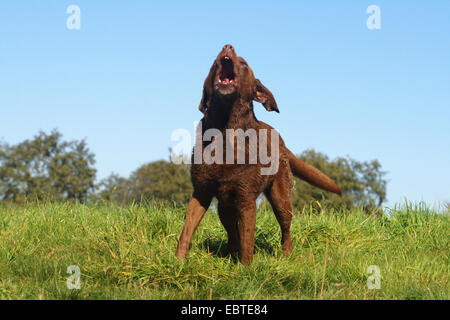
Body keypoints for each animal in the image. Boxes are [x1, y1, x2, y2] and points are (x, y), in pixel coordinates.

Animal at [176, 45, 342, 264]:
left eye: (244, 63)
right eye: (214, 62)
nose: (227, 46)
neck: (224, 131)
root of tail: (281, 139)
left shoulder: (247, 201)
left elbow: (248, 242)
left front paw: (246, 269)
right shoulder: (201, 192)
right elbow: (186, 231)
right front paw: (177, 262)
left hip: (281, 199)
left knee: (285, 230)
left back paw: (286, 256)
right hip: (224, 208)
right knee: (232, 233)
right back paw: (229, 254)